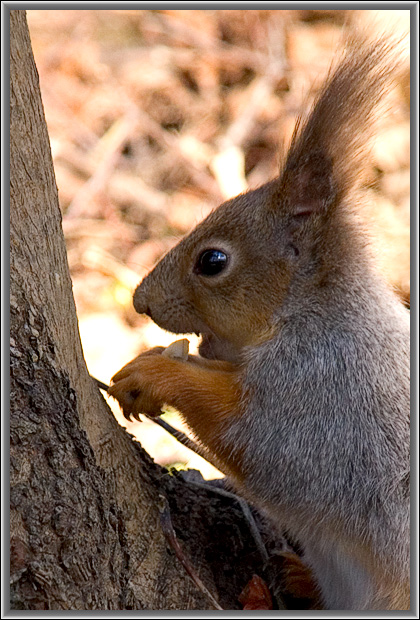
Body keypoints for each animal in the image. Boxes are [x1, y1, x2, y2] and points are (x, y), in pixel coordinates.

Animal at [106, 34, 408, 612]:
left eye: (213, 261)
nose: (140, 303)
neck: (310, 313)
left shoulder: (324, 394)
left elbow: (256, 439)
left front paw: (154, 376)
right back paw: (298, 575)